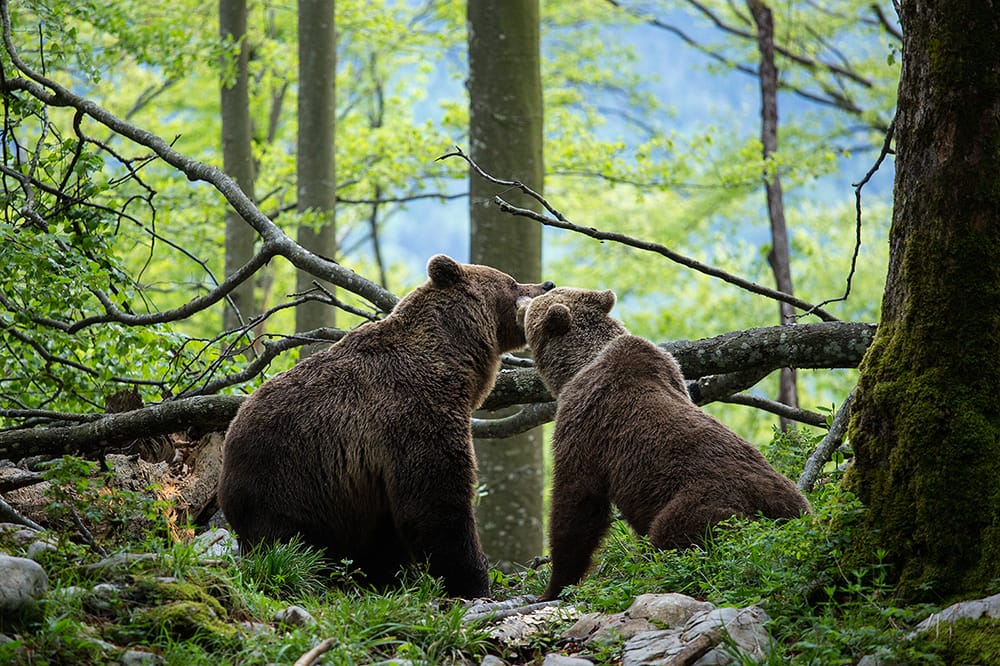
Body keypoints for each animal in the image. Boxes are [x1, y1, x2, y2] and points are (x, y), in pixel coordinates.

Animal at [217, 254, 555, 599]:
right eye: (511, 282)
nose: (547, 284)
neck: (452, 358)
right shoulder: (411, 414)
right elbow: (436, 498)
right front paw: (471, 580)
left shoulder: (374, 475)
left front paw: (390, 577)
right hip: (292, 480)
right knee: (293, 544)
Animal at [520, 287, 811, 601]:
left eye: (540, 300)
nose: (536, 290)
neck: (581, 364)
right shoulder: (672, 372)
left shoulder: (584, 420)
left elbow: (577, 502)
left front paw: (555, 585)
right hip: (792, 498)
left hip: (704, 503)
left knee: (675, 534)